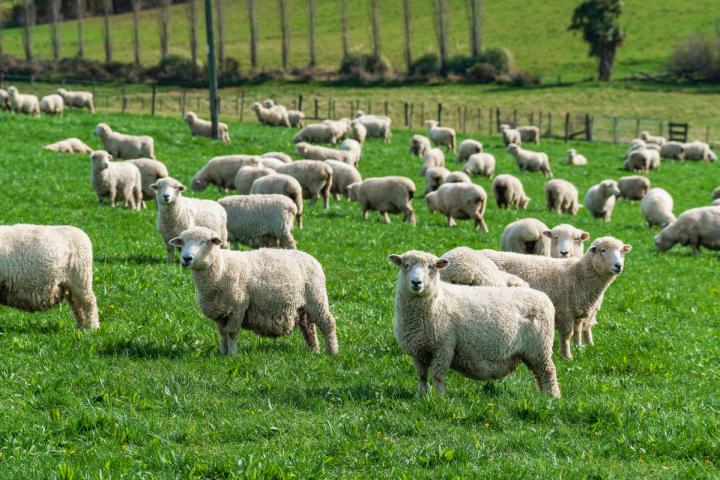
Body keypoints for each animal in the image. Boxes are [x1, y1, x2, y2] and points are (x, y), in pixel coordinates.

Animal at [169, 226, 338, 356]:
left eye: (203, 241)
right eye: (182, 243)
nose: (186, 259)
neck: (221, 269)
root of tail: (310, 257)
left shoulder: (238, 307)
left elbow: (231, 333)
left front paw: (232, 355)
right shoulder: (220, 311)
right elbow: (222, 333)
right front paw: (223, 353)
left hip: (316, 297)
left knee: (328, 323)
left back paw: (332, 352)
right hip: (303, 307)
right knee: (308, 326)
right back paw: (314, 349)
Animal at [389, 250, 559, 397]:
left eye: (431, 266)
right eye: (406, 265)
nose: (416, 282)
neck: (438, 301)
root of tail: (543, 296)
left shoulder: (444, 347)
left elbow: (437, 376)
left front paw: (439, 398)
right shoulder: (417, 350)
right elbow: (422, 377)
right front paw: (421, 397)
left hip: (540, 348)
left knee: (548, 372)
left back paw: (552, 398)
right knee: (540, 375)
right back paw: (543, 397)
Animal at [481, 236, 632, 358]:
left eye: (621, 252)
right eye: (603, 250)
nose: (618, 266)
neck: (579, 274)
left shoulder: (578, 312)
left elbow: (577, 333)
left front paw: (580, 349)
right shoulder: (566, 312)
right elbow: (567, 336)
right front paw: (567, 356)